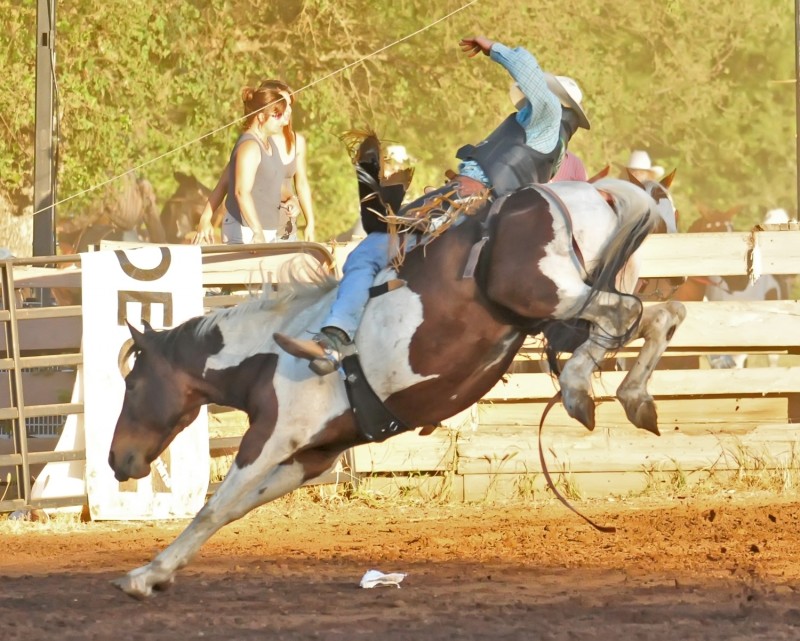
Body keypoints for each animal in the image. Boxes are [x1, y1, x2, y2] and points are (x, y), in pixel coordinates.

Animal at [107, 168, 684, 598]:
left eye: (133, 385)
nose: (118, 460)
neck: (271, 351)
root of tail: (596, 192)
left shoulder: (271, 436)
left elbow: (212, 507)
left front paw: (143, 574)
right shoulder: (310, 457)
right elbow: (232, 509)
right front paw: (156, 573)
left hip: (552, 296)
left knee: (633, 314)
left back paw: (583, 388)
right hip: (570, 304)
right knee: (656, 315)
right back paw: (618, 396)